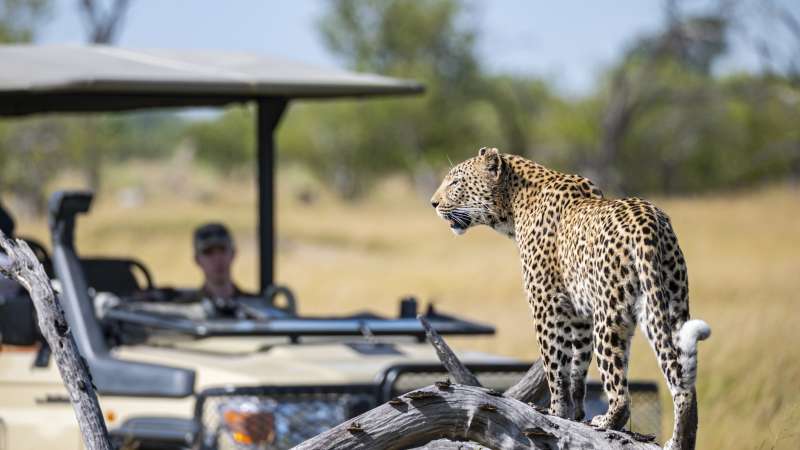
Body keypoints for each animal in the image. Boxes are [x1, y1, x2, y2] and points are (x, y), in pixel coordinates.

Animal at [430, 147, 710, 449]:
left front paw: (556, 413)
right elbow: (576, 369)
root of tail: (648, 220)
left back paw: (607, 421)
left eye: (456, 182)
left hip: (610, 317)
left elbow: (555, 366)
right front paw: (575, 415)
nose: (433, 203)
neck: (513, 203)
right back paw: (680, 439)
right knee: (684, 383)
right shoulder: (579, 316)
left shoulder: (546, 305)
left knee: (621, 392)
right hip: (670, 305)